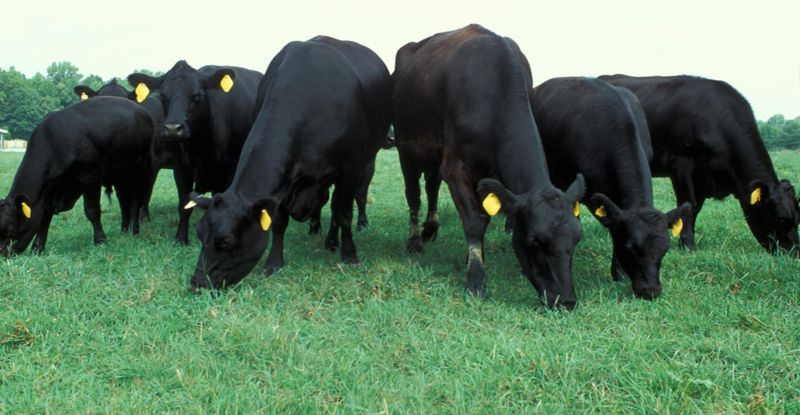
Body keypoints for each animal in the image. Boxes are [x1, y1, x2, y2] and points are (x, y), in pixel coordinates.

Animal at [0, 97, 153, 256]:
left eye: (10, 230)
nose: (3, 253)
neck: (54, 140)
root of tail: (140, 110)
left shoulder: (90, 175)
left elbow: (92, 210)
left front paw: (100, 241)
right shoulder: (53, 187)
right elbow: (45, 216)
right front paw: (37, 248)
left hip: (139, 168)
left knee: (135, 201)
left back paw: (134, 231)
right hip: (119, 174)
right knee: (123, 201)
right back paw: (124, 231)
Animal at [127, 61, 263, 244]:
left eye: (198, 95)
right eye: (162, 96)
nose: (173, 129)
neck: (201, 148)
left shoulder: (229, 170)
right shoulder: (181, 169)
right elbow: (184, 205)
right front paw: (180, 238)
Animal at [186, 36, 391, 290]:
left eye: (226, 241)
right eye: (199, 233)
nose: (197, 282)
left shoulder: (350, 168)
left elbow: (343, 212)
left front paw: (350, 255)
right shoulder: (283, 182)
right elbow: (279, 222)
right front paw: (274, 263)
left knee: (338, 204)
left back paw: (333, 242)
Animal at [392, 24, 585, 309]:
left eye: (576, 237)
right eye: (534, 240)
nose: (567, 301)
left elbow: (484, 216)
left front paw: (475, 258)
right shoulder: (455, 168)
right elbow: (475, 221)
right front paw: (475, 280)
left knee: (432, 187)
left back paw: (431, 228)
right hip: (407, 149)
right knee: (414, 195)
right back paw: (414, 240)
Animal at [600, 75, 800, 256]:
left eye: (797, 218)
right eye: (781, 219)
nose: (794, 254)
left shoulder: (703, 178)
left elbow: (696, 209)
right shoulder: (681, 164)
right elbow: (689, 205)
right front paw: (688, 245)